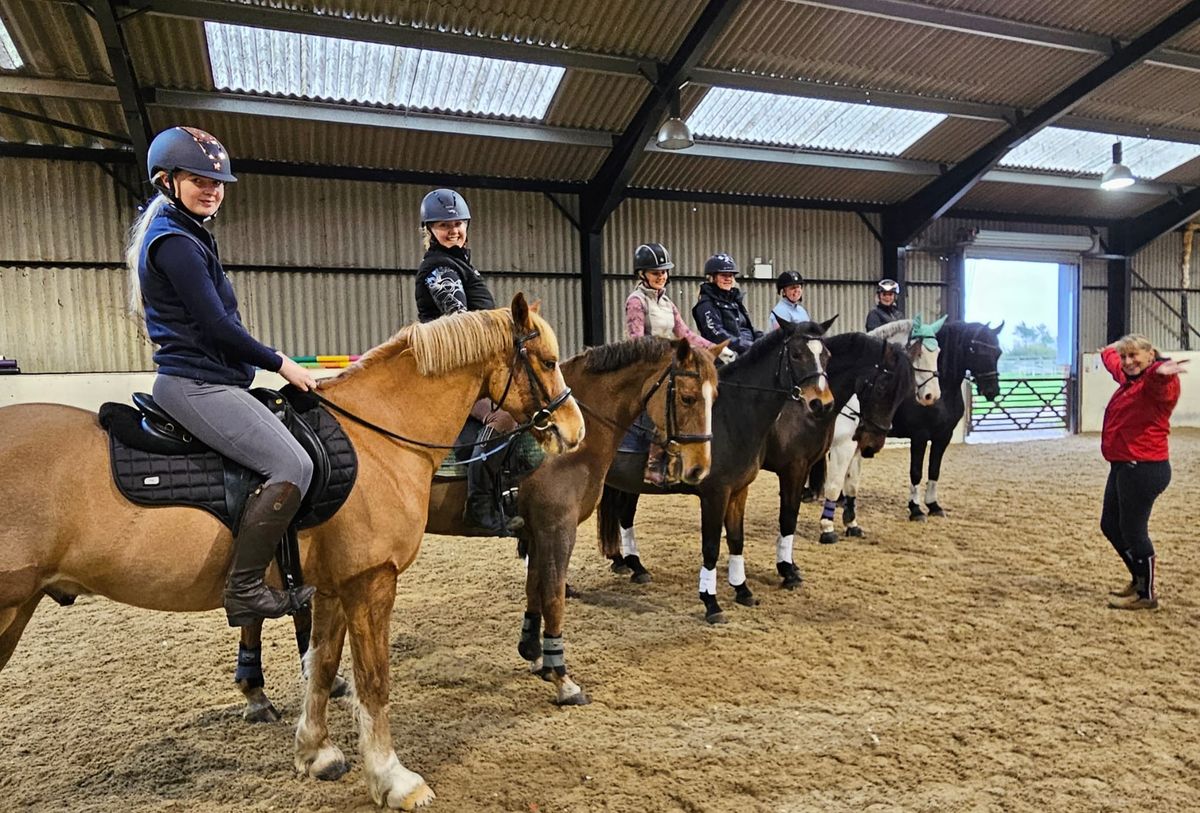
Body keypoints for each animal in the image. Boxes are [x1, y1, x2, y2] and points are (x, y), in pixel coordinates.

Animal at [0, 296, 583, 810]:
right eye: (548, 361)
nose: (573, 430)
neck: (379, 436)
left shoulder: (331, 586)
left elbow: (322, 665)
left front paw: (315, 753)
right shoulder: (372, 581)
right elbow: (374, 681)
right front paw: (394, 780)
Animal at [235, 333, 720, 714]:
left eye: (715, 398)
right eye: (687, 398)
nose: (699, 469)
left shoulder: (536, 530)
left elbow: (535, 588)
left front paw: (534, 652)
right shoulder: (557, 528)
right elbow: (555, 596)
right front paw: (562, 676)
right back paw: (259, 691)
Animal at [597, 318, 840, 623]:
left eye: (827, 355)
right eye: (796, 354)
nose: (823, 403)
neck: (732, 414)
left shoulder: (738, 490)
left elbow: (736, 539)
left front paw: (743, 590)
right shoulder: (718, 493)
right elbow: (713, 546)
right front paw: (711, 602)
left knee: (624, 516)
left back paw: (635, 567)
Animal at [816, 318, 945, 546]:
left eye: (938, 353)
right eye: (920, 353)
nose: (932, 396)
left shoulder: (857, 445)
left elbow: (852, 484)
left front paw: (852, 524)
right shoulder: (842, 446)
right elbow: (834, 485)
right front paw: (827, 528)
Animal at [892, 318, 1003, 522]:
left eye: (998, 352)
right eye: (974, 350)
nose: (992, 391)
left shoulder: (943, 435)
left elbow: (934, 469)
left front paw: (934, 506)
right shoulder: (919, 435)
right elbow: (916, 471)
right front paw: (916, 509)